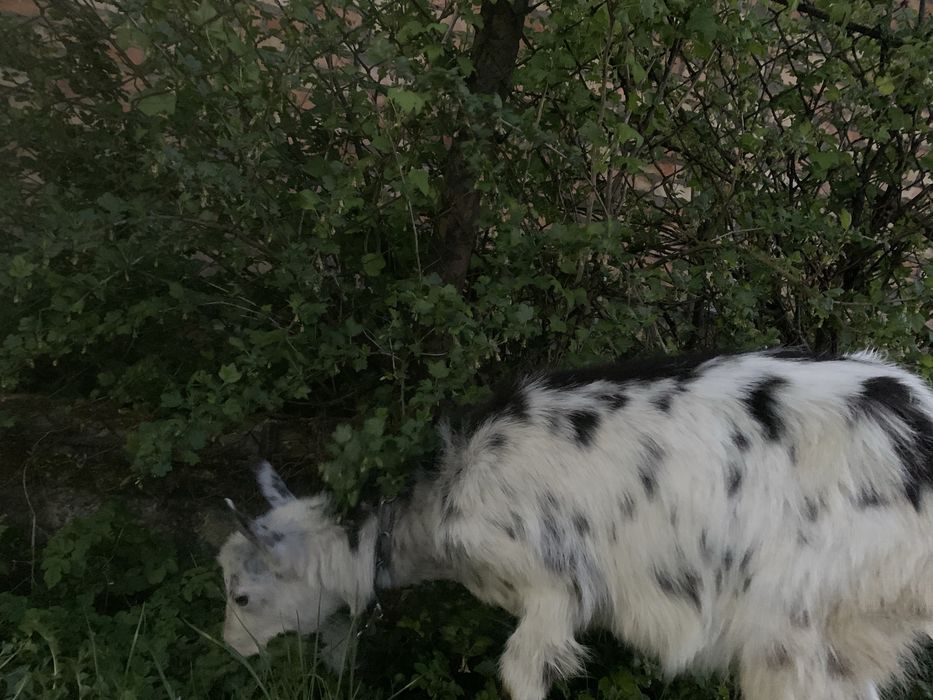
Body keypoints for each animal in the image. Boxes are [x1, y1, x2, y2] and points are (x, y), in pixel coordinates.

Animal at [217, 348, 933, 699]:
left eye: (243, 594)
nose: (230, 647)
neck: (441, 507)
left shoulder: (554, 591)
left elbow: (520, 675)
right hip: (847, 627)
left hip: (790, 626)